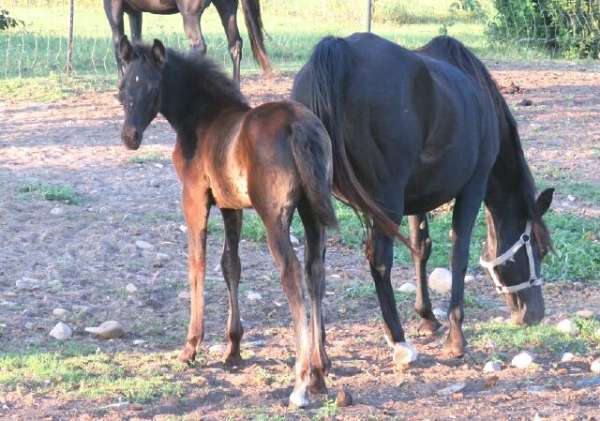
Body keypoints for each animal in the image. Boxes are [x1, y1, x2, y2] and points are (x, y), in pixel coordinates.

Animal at [104, 0, 270, 80]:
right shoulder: (135, 12)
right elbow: (135, 42)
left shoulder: (113, 7)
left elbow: (119, 46)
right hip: (227, 9)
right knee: (235, 45)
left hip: (190, 15)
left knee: (199, 46)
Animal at [115, 37, 336, 406]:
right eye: (122, 88)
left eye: (151, 87)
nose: (130, 137)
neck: (204, 118)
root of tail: (299, 126)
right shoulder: (232, 205)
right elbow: (231, 265)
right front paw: (233, 348)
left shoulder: (194, 196)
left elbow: (197, 263)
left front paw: (191, 346)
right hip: (312, 211)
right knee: (314, 271)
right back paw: (320, 370)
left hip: (274, 216)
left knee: (291, 274)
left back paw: (301, 379)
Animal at [292, 33, 552, 360]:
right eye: (539, 250)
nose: (535, 315)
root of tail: (341, 52)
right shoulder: (473, 187)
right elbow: (458, 255)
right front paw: (456, 336)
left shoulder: (418, 197)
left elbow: (421, 248)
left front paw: (427, 317)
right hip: (387, 202)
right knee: (379, 261)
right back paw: (397, 339)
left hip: (316, 202)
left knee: (314, 263)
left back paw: (320, 344)